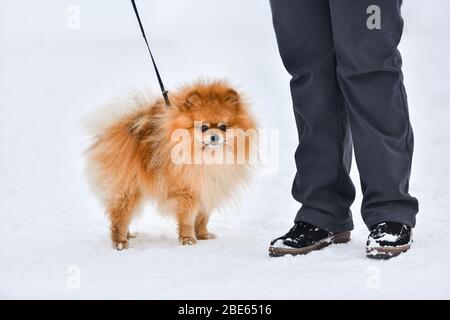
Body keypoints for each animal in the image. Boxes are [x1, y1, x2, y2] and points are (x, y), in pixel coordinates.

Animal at [84, 80, 256, 250]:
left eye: (223, 127)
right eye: (203, 127)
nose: (214, 137)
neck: (207, 156)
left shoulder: (209, 187)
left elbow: (203, 217)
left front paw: (203, 235)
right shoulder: (186, 190)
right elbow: (187, 219)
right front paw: (188, 239)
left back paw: (128, 235)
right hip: (126, 188)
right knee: (119, 216)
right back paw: (120, 242)